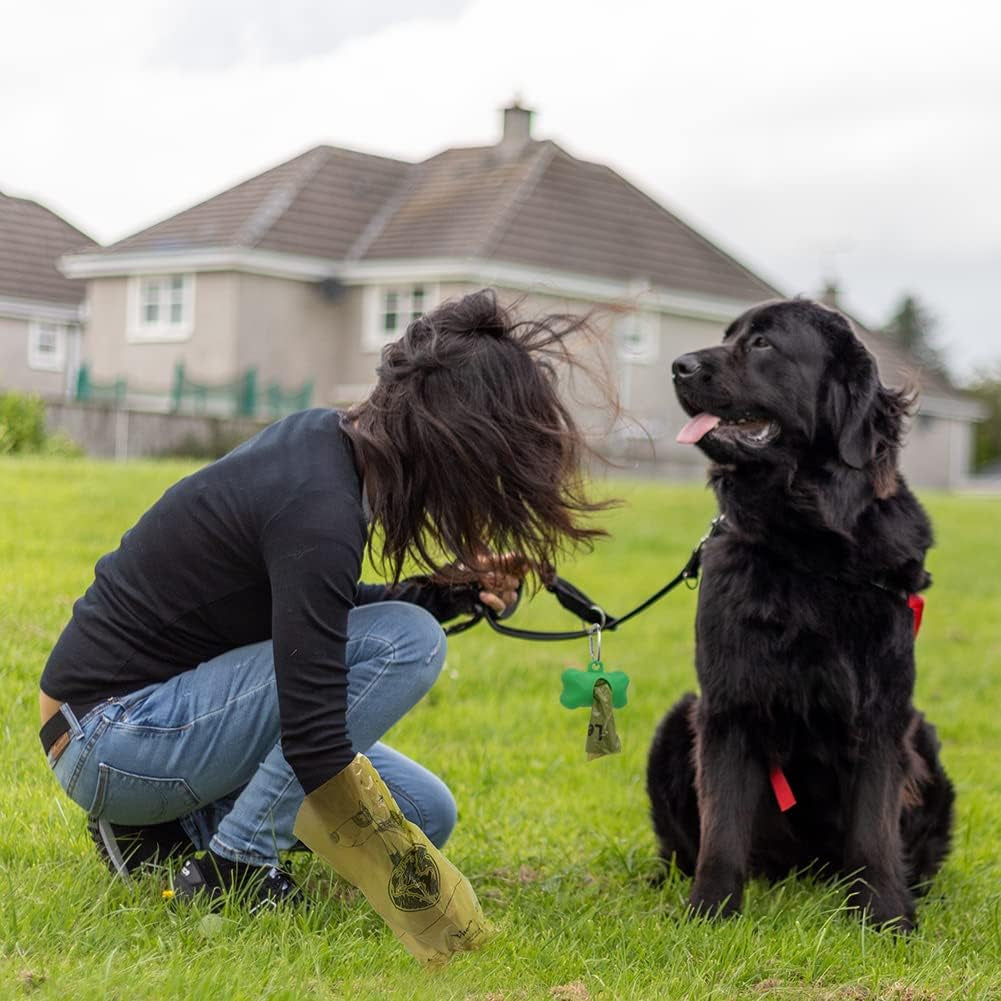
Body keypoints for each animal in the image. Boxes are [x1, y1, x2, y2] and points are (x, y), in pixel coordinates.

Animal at [648, 296, 952, 928]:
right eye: (728, 336)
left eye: (763, 343)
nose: (678, 365)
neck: (807, 544)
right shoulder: (727, 704)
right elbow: (721, 828)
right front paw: (710, 911)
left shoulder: (884, 709)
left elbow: (874, 828)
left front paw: (886, 915)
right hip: (676, 722)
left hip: (927, 738)